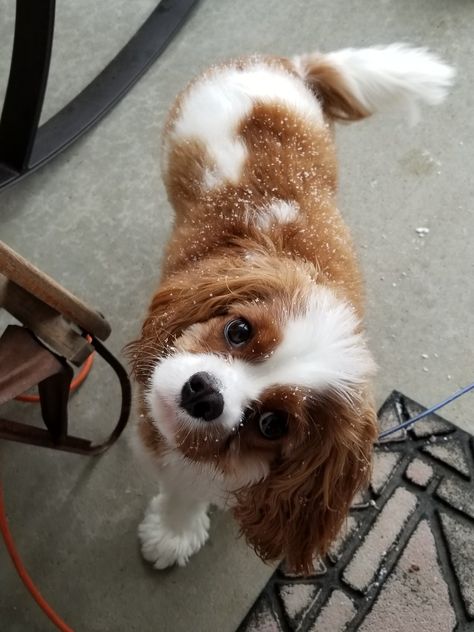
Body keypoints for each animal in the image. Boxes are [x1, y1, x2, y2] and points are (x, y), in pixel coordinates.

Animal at [128, 45, 454, 572]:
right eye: (238, 331)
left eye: (272, 424)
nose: (205, 394)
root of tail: (289, 65)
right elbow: (180, 481)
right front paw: (174, 530)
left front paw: (175, 531)